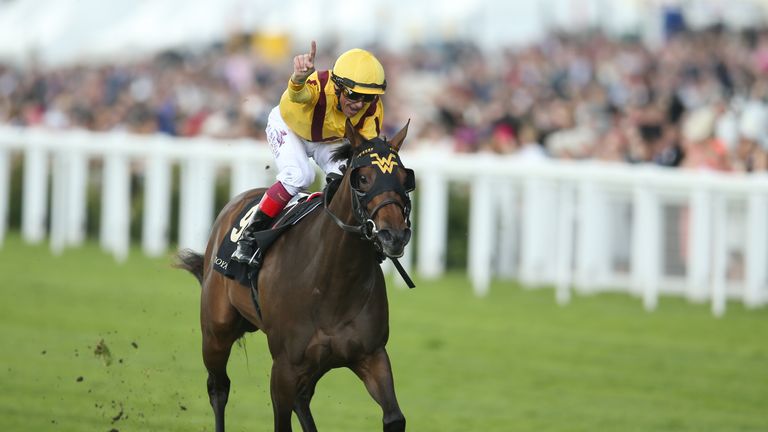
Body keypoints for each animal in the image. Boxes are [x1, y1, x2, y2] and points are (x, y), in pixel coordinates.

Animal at [176, 119, 414, 432]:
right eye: (363, 178)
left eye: (404, 178)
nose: (394, 235)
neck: (333, 282)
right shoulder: (285, 366)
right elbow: (281, 421)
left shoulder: (371, 354)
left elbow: (394, 417)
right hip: (216, 332)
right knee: (218, 387)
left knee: (302, 398)